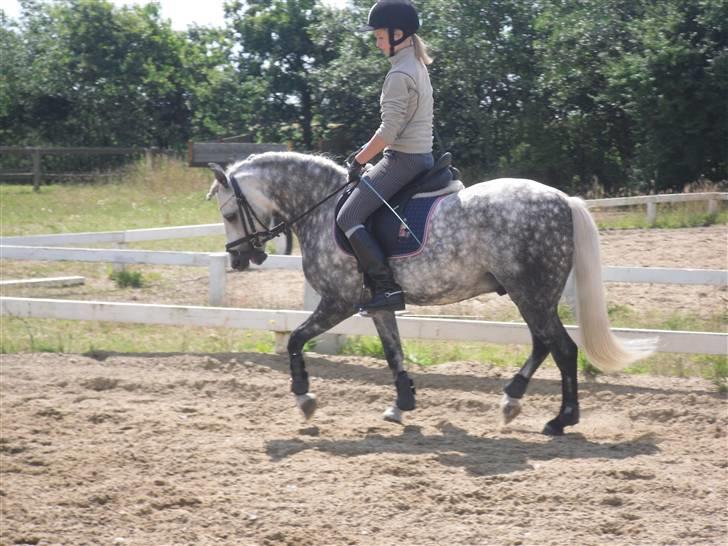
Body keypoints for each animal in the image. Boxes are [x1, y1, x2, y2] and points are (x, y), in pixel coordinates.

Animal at [206, 151, 657, 436]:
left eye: (229, 214)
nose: (240, 257)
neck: (322, 208)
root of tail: (563, 199)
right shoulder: (378, 304)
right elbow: (393, 351)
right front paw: (401, 404)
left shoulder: (339, 302)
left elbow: (296, 340)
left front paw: (304, 398)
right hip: (530, 294)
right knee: (544, 344)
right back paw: (512, 401)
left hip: (532, 293)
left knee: (561, 348)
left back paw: (560, 421)